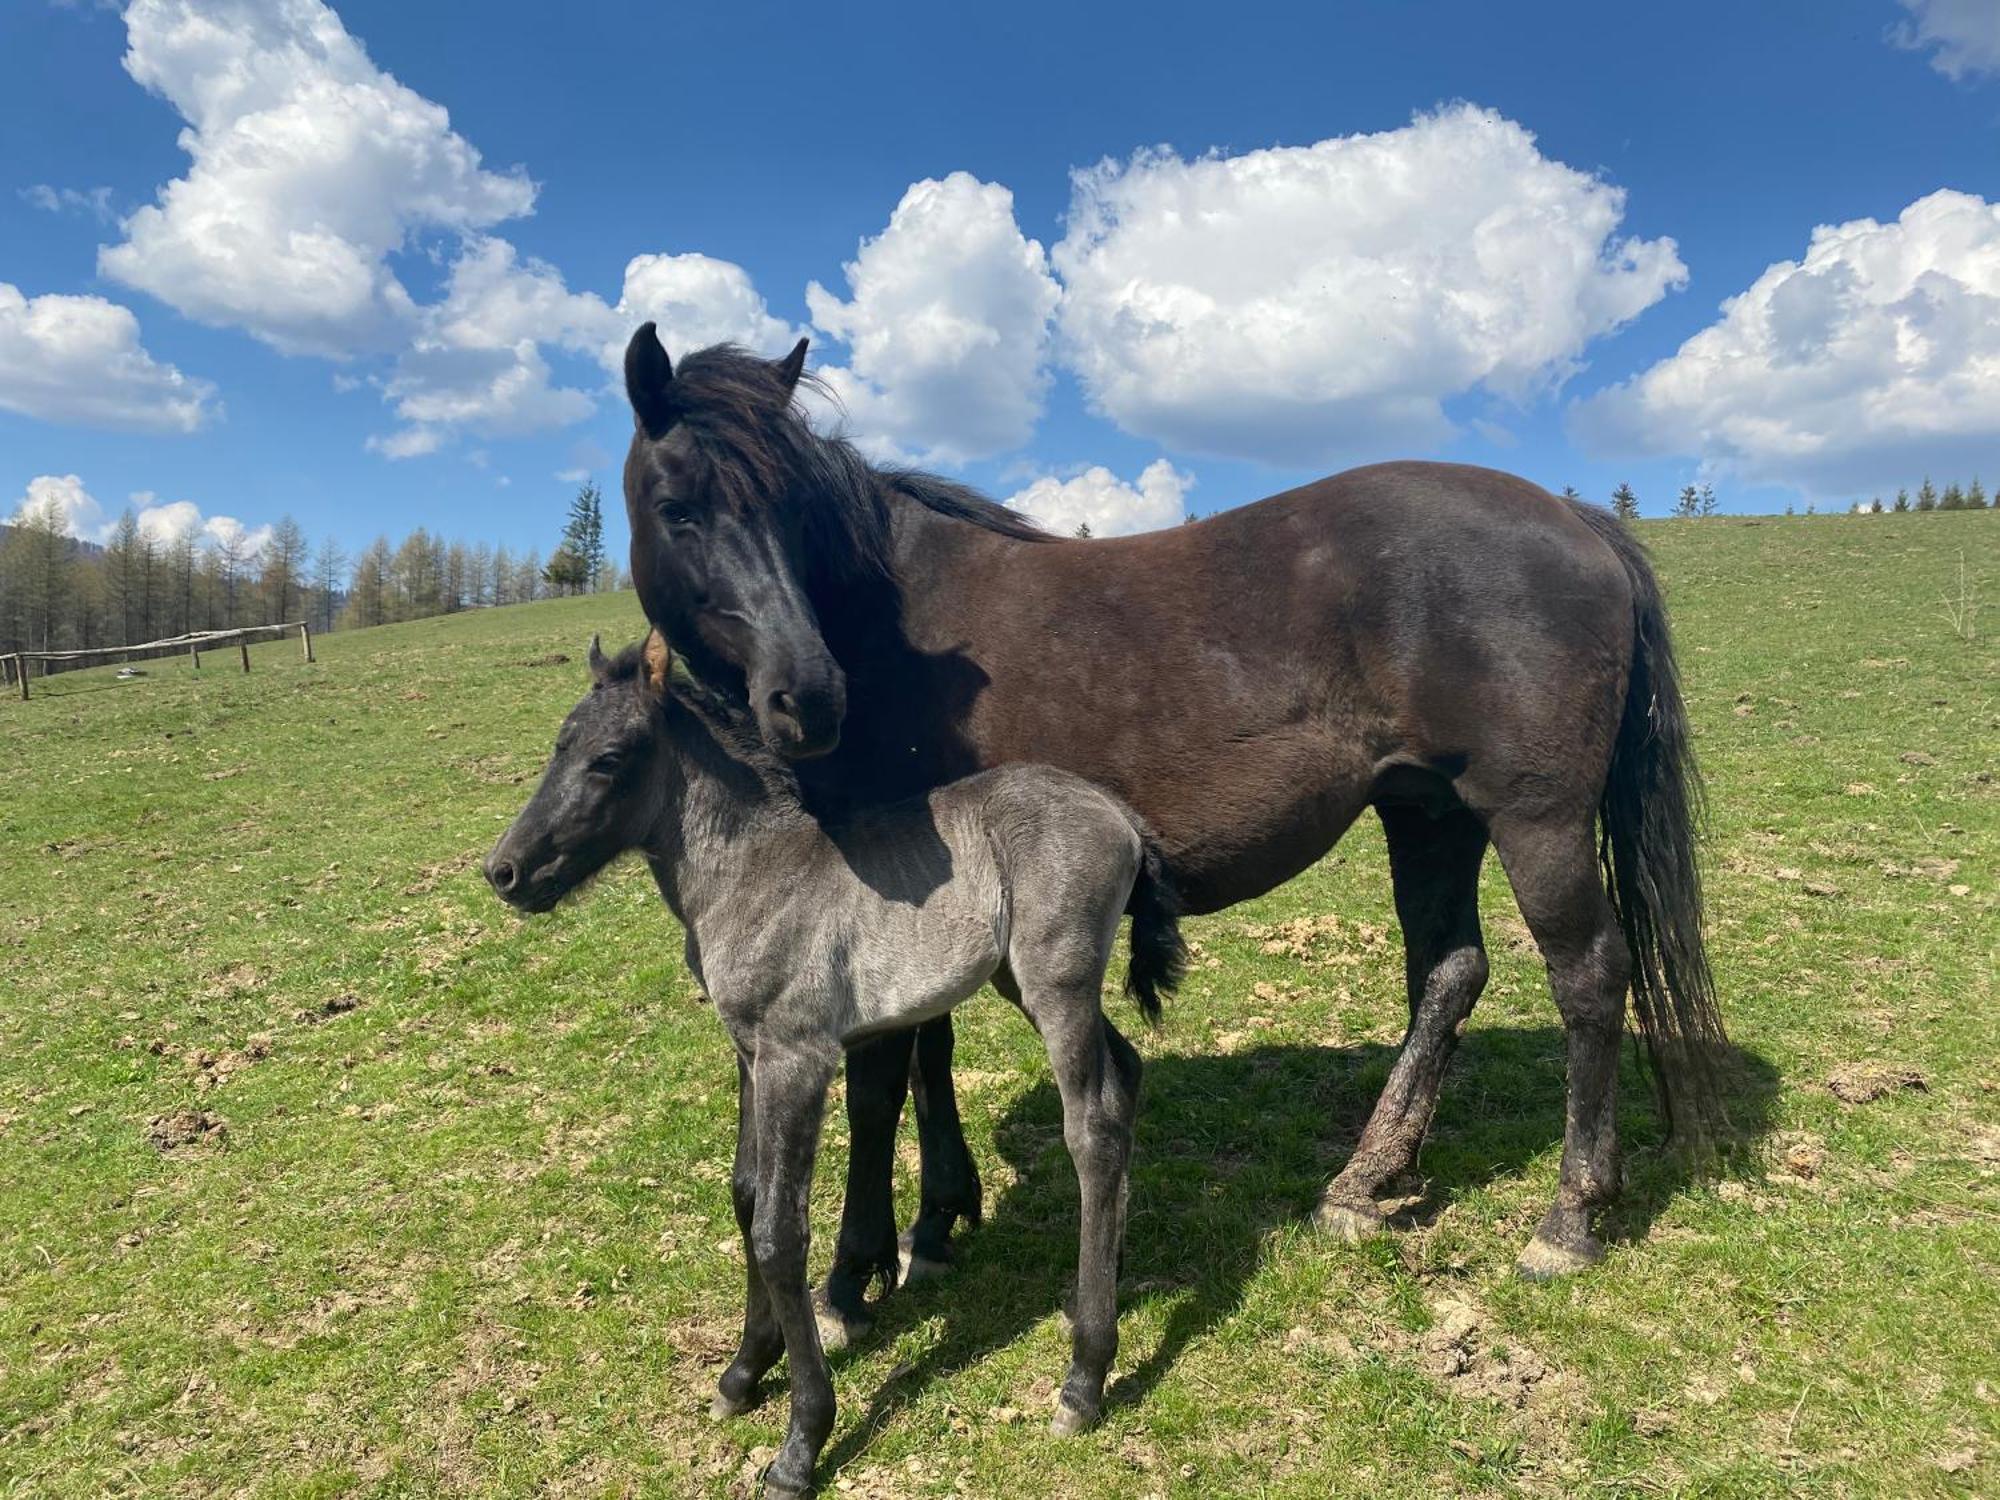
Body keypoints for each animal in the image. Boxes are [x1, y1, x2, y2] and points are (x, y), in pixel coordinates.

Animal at [616, 324, 1728, 1320]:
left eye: (789, 511)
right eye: (677, 508)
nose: (808, 698)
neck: (895, 628)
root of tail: (1575, 518)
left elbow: (883, 1077)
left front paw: (855, 1275)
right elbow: (924, 1054)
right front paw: (934, 1225)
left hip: (1534, 822)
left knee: (1588, 978)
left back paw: (1568, 1219)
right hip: (1428, 814)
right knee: (1448, 972)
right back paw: (1365, 1181)